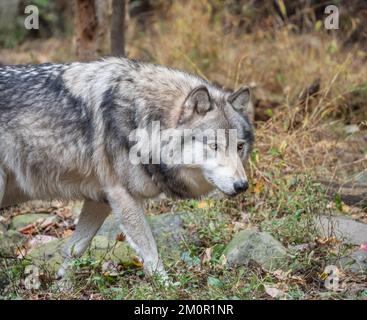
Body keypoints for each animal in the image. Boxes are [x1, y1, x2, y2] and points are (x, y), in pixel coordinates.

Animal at [0, 58, 254, 278]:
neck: (141, 118)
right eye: (214, 146)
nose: (242, 186)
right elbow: (151, 254)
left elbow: (75, 247)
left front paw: (62, 285)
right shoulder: (124, 196)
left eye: (240, 146)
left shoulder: (101, 199)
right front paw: (166, 286)